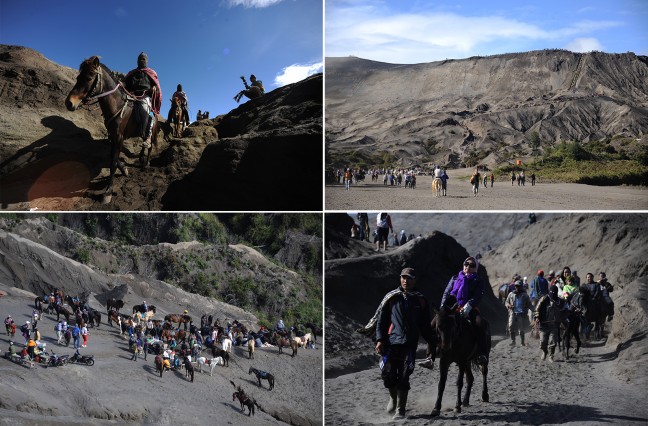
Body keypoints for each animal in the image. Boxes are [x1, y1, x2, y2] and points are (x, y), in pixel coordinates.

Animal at [64, 55, 159, 204]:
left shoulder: (119, 137)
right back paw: (142, 159)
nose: (69, 103)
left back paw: (147, 163)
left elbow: (113, 162)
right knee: (145, 145)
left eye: (89, 77)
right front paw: (124, 169)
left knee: (149, 146)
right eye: (78, 77)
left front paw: (108, 191)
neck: (117, 105)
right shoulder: (113, 136)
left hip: (152, 132)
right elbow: (112, 158)